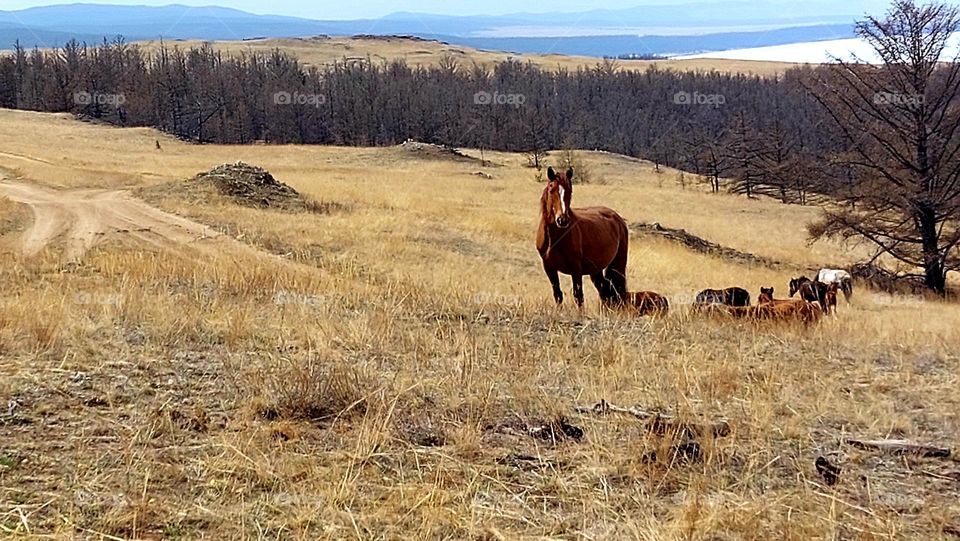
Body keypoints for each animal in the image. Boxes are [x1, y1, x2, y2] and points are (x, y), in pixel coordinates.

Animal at [537, 167, 629, 308]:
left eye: (570, 191)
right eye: (551, 190)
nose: (562, 220)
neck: (555, 238)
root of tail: (618, 219)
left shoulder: (576, 268)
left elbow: (578, 295)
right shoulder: (549, 267)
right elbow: (557, 294)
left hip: (618, 264)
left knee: (618, 290)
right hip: (596, 269)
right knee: (604, 290)